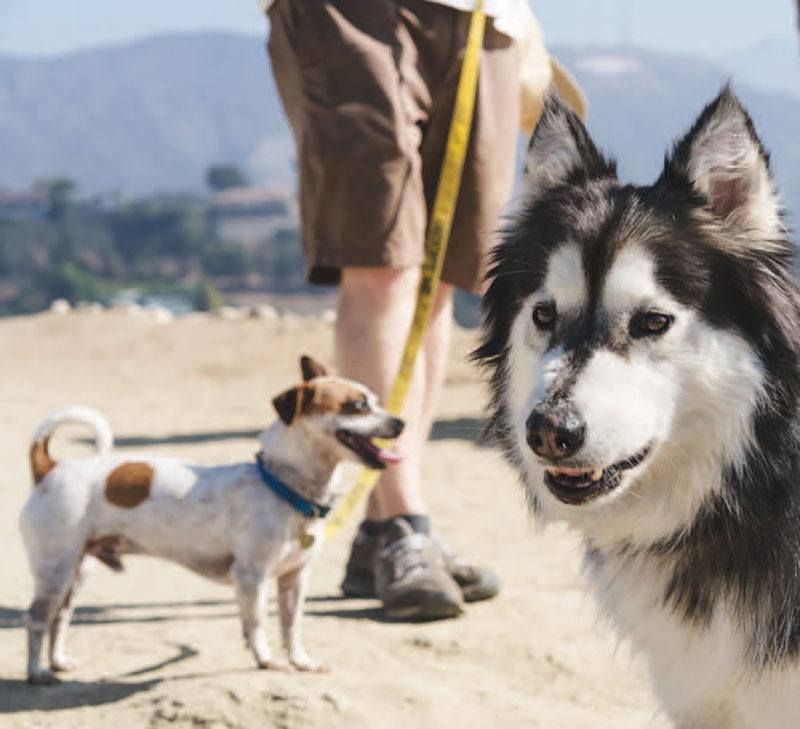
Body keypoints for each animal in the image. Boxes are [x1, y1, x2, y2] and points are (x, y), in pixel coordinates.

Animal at [18, 356, 404, 684]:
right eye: (358, 406)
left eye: (375, 400)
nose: (401, 422)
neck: (281, 486)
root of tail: (49, 469)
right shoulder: (251, 576)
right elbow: (258, 622)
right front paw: (266, 660)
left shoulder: (294, 579)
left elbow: (291, 626)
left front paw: (300, 661)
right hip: (55, 571)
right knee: (36, 619)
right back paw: (37, 672)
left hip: (77, 571)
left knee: (59, 618)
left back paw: (58, 662)